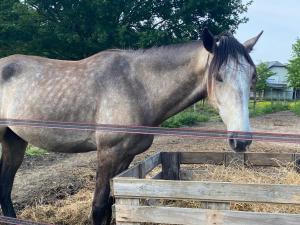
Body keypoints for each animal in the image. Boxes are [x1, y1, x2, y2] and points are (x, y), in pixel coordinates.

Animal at [0, 28, 262, 225]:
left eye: (252, 76)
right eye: (218, 77)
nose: (241, 141)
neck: (137, 86)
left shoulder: (125, 156)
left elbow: (111, 205)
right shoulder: (108, 153)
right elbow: (99, 208)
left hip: (15, 140)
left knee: (6, 185)